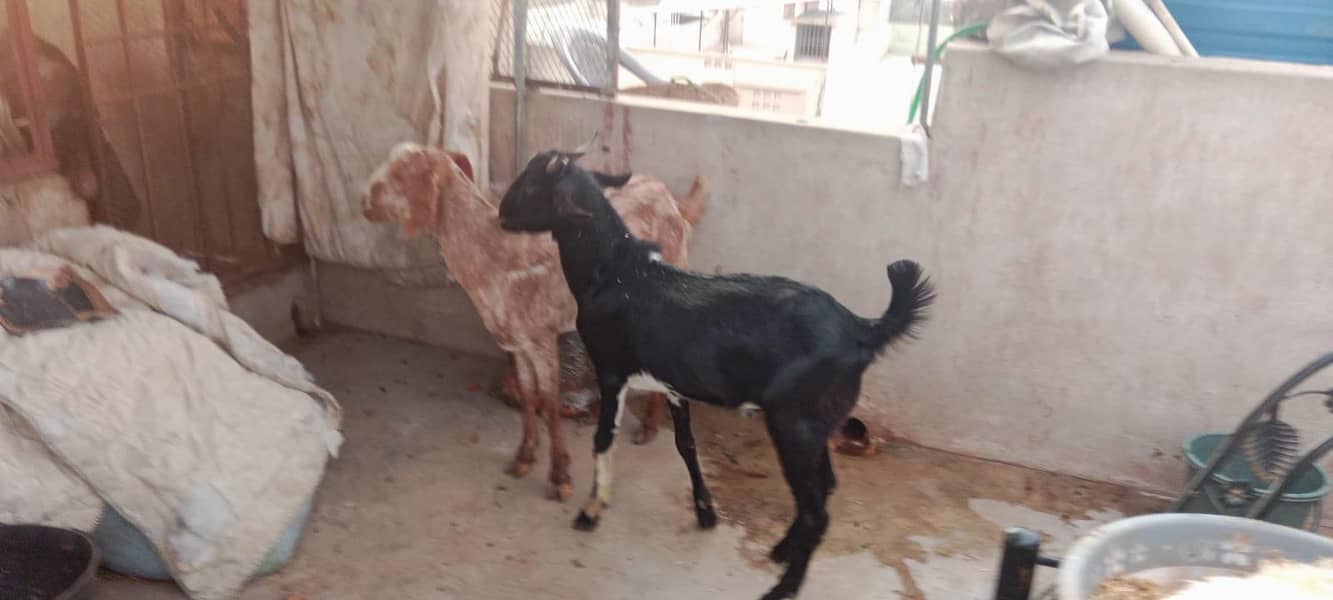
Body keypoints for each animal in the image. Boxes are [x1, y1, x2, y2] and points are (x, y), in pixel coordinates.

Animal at [362, 143, 705, 500]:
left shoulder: (542, 337)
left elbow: (550, 404)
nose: (364, 203)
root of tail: (669, 196)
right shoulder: (517, 341)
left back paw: (649, 427)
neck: (491, 252)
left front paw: (560, 476)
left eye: (401, 175)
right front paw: (524, 457)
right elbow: (528, 396)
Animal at [498, 145, 934, 600]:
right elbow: (686, 444)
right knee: (826, 484)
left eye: (532, 184)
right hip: (817, 422)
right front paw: (705, 511)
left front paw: (591, 509)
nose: (501, 213)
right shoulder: (671, 382)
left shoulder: (612, 369)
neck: (617, 272)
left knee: (817, 509)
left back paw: (783, 586)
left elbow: (603, 439)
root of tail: (862, 329)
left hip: (795, 422)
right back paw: (783, 549)